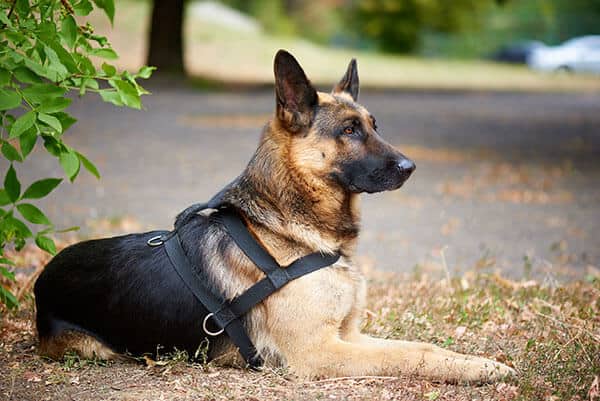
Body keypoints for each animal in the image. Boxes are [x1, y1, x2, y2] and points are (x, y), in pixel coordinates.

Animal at [35, 50, 516, 382]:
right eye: (349, 130)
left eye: (374, 126)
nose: (410, 167)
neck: (292, 231)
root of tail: (42, 279)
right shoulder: (321, 351)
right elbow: (408, 355)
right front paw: (478, 371)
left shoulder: (349, 335)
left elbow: (421, 346)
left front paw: (478, 361)